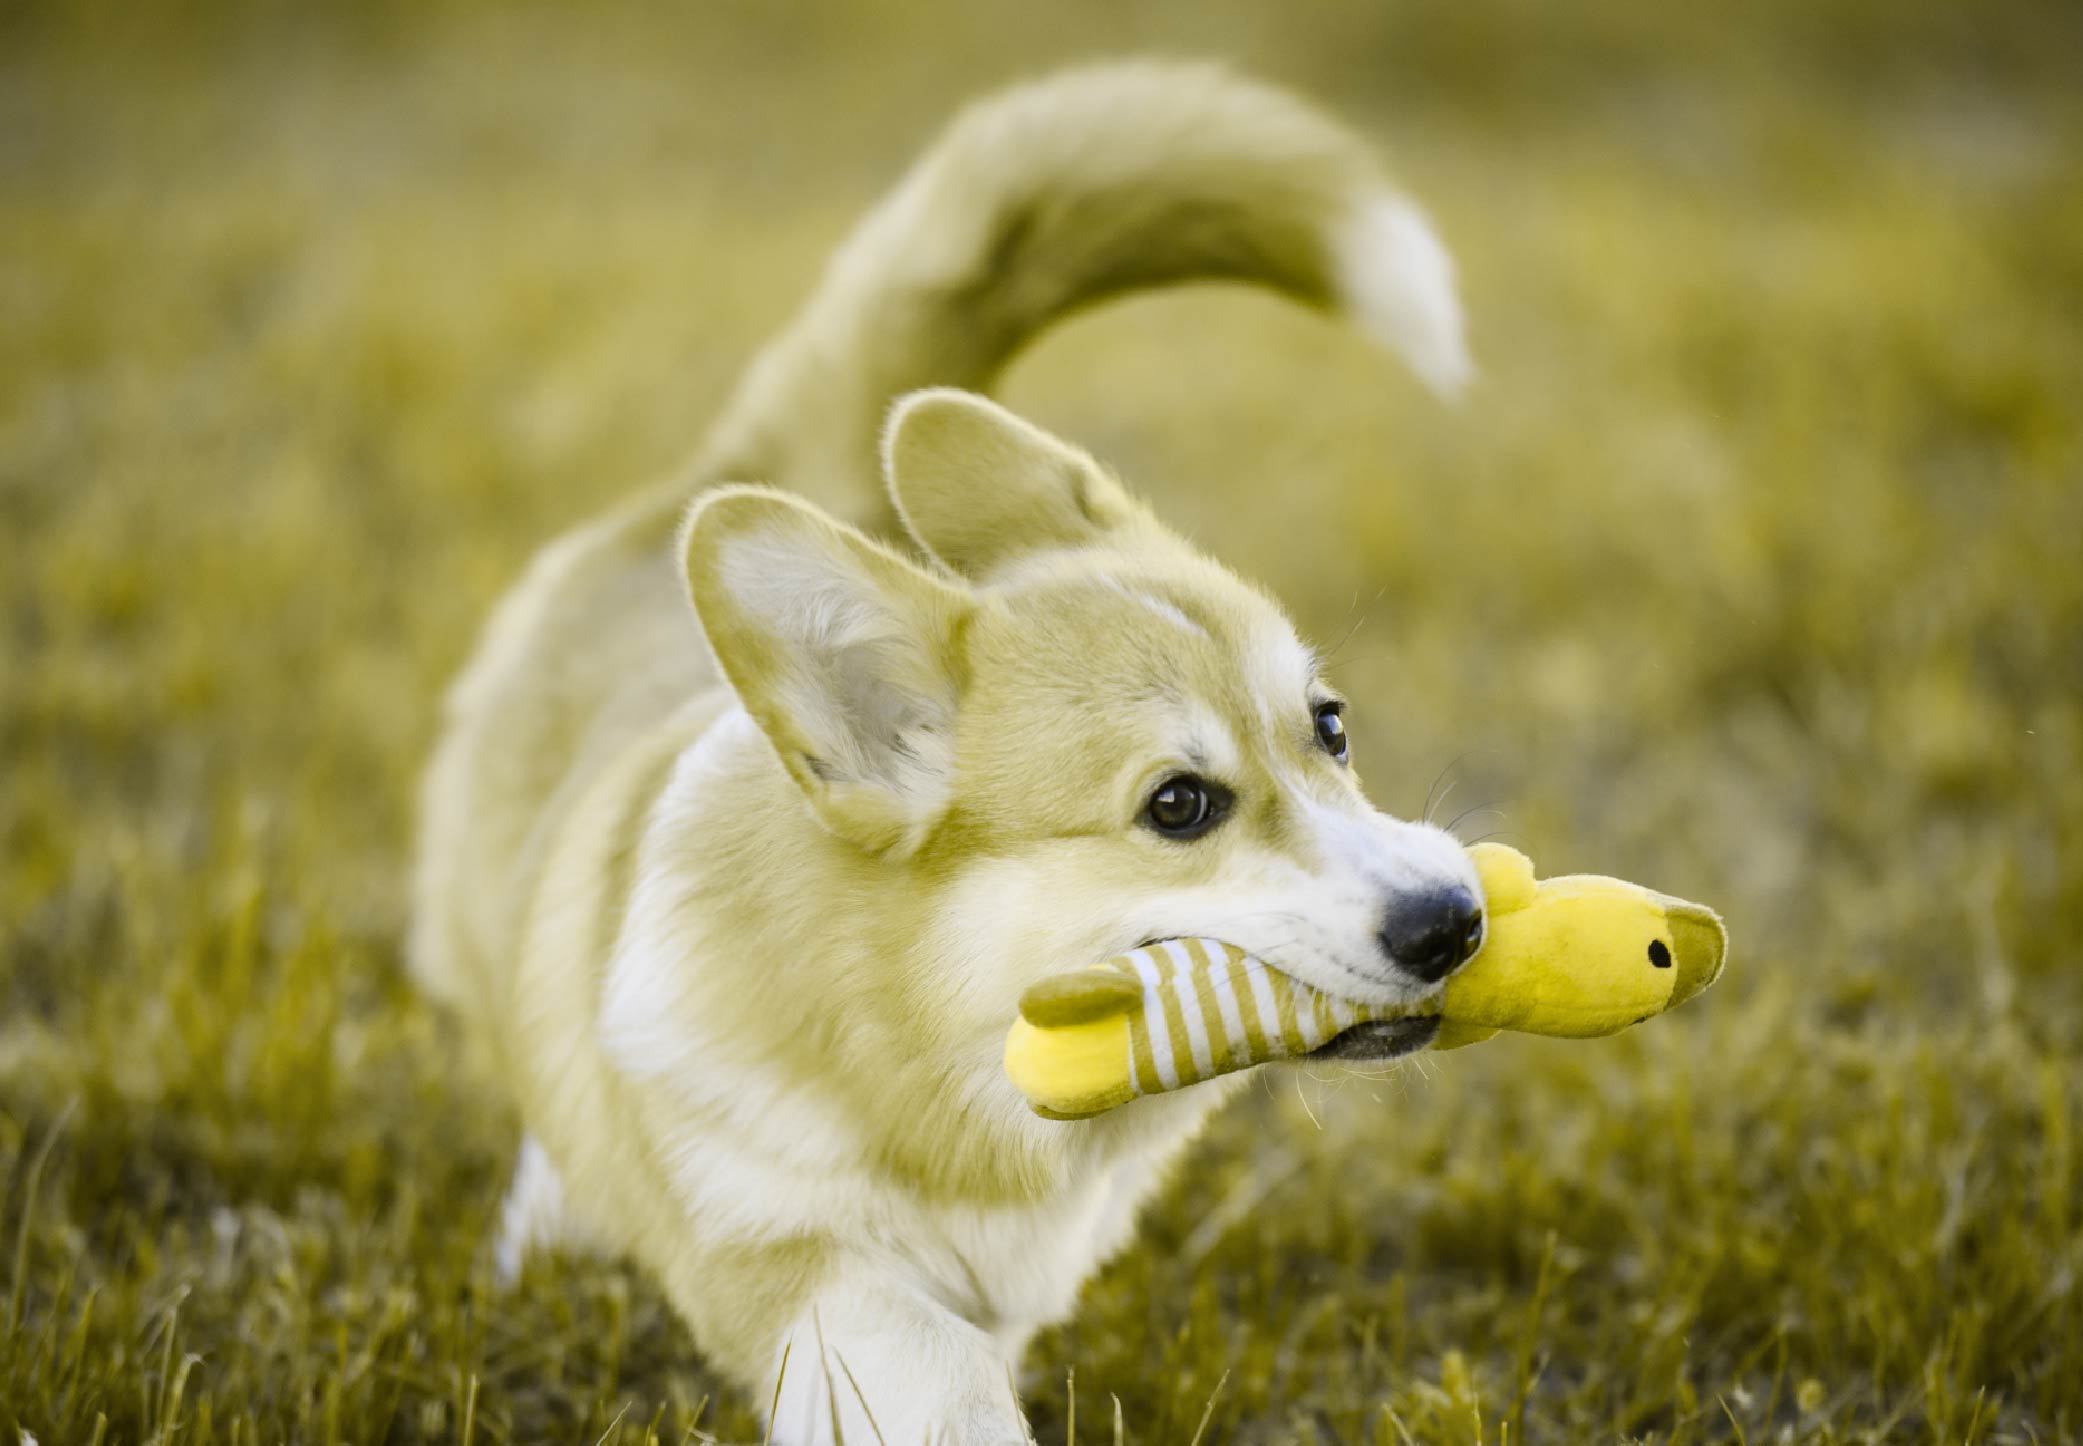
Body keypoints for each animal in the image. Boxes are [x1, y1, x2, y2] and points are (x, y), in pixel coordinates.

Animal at [406, 59, 1483, 1446]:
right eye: (1179, 805)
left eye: (1332, 727)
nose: (1456, 920)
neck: (935, 1056)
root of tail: (722, 475)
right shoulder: (797, 1264)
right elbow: (936, 1369)